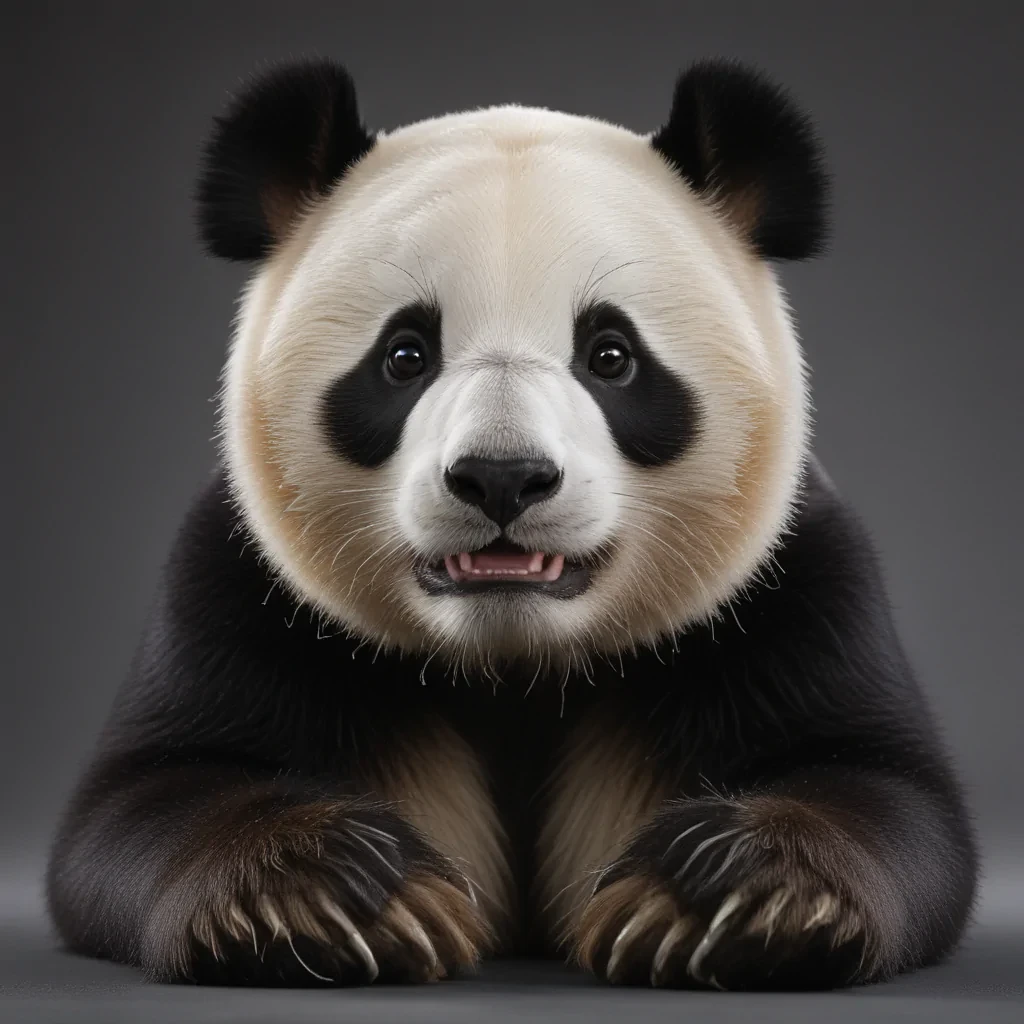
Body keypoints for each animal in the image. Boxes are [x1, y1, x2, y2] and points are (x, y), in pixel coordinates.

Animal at [46, 57, 978, 992]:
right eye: (405, 354)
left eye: (611, 355)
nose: (501, 478)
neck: (515, 663)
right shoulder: (241, 590)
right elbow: (140, 803)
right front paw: (334, 891)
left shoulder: (788, 589)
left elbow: (886, 790)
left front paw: (718, 897)